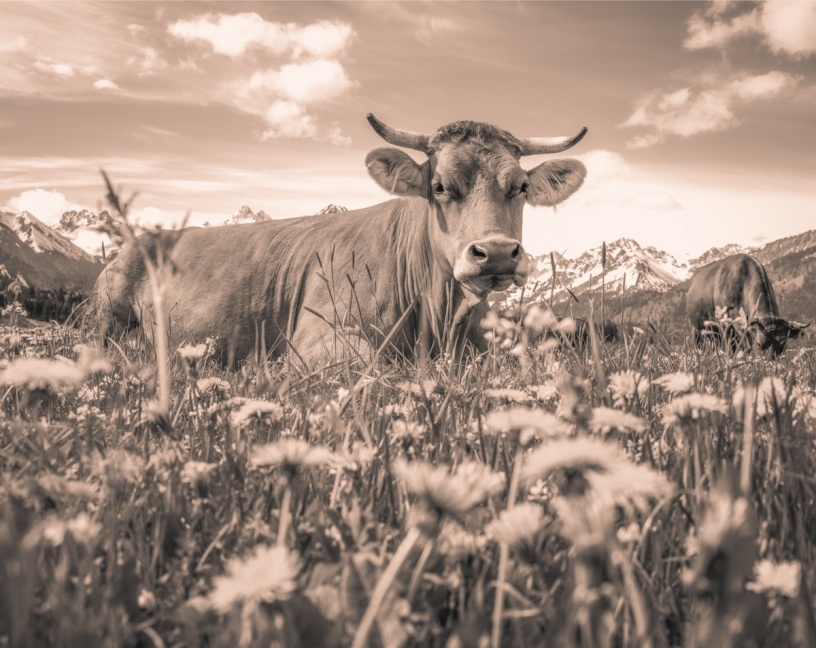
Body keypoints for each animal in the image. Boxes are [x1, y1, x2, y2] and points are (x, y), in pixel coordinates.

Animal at [87, 114, 587, 367]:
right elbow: (370, 363)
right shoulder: (314, 335)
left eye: (521, 186)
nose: (497, 252)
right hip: (105, 316)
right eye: (440, 186)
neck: (439, 315)